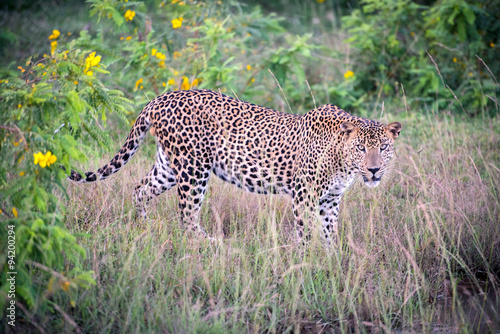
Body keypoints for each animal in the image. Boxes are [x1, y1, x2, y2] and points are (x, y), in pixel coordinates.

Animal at [68, 88, 400, 244]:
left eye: (383, 148)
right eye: (361, 148)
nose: (374, 170)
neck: (342, 162)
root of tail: (161, 98)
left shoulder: (331, 198)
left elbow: (330, 231)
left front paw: (330, 258)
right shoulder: (304, 195)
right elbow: (306, 231)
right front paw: (308, 260)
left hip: (169, 167)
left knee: (140, 189)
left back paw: (144, 227)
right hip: (193, 168)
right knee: (186, 216)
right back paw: (212, 245)